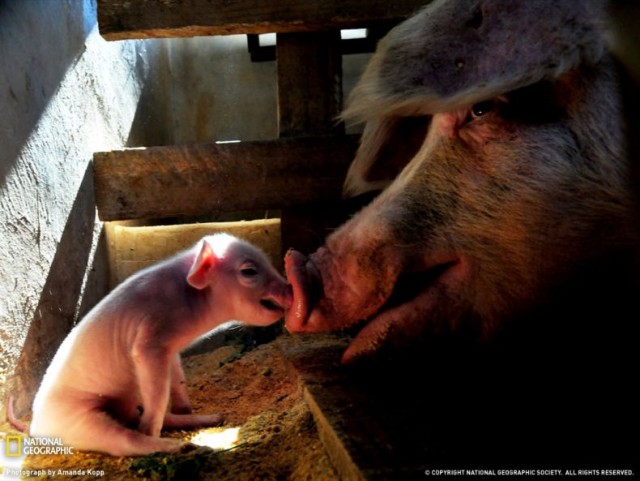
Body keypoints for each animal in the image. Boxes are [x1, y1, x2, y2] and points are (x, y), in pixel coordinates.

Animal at [29, 234, 290, 456]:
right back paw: (188, 447)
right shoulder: (150, 340)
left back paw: (215, 417)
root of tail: (35, 427)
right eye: (249, 271)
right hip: (78, 421)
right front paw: (154, 431)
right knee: (124, 439)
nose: (290, 288)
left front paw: (186, 407)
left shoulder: (170, 349)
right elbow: (158, 392)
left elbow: (177, 379)